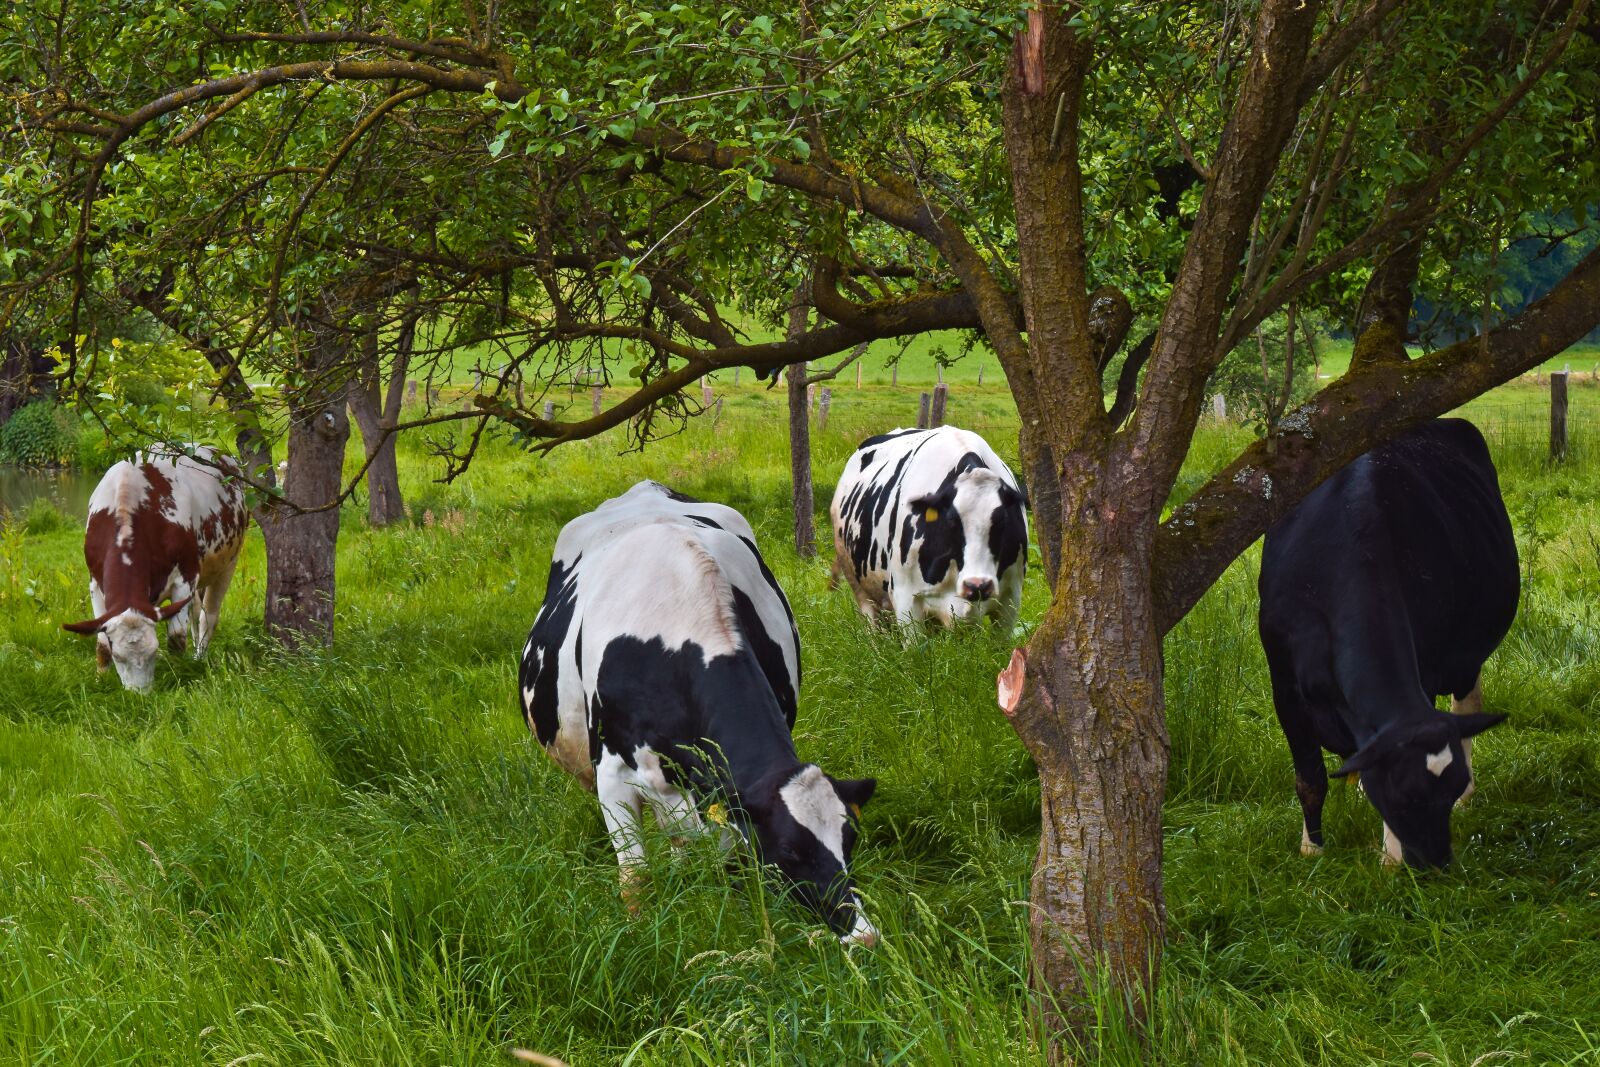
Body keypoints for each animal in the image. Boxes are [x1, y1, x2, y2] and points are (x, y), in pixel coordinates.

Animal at [63, 445, 249, 691]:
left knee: (207, 617)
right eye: (118, 656)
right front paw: (100, 679)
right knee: (195, 612)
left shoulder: (186, 577)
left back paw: (199, 657)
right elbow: (101, 643)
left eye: (153, 653)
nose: (139, 695)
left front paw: (179, 673)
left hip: (229, 562)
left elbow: (176, 638)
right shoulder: (94, 583)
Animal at [518, 480, 879, 945]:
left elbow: (732, 869)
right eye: (788, 850)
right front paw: (637, 937)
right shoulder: (612, 776)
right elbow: (635, 876)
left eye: (849, 839)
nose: (863, 933)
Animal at [830, 426, 1028, 628]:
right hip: (855, 579)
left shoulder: (1011, 598)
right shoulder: (906, 599)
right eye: (951, 521)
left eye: (1002, 521)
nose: (977, 585)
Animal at [1258, 419, 1518, 869]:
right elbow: (1310, 778)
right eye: (1404, 795)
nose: (1436, 864)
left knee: (1467, 705)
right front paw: (1311, 850)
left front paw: (1390, 859)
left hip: (1465, 658)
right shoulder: (1284, 688)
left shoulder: (1427, 672)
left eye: (1449, 789)